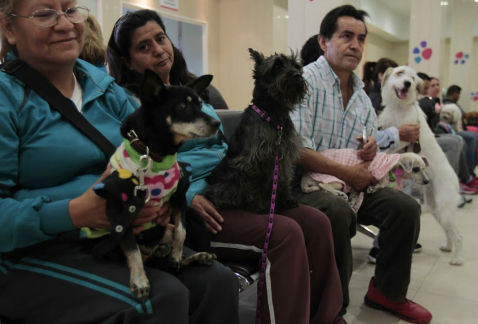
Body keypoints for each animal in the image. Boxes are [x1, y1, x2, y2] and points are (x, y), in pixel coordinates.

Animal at [88, 70, 218, 302]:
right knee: (144, 257)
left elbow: (182, 231)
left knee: (166, 262)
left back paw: (187, 255)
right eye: (182, 107)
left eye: (201, 104)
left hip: (164, 228)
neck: (154, 155)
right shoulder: (120, 213)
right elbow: (132, 250)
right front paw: (139, 282)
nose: (217, 124)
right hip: (110, 246)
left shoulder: (179, 198)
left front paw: (177, 254)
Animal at [204, 48, 308, 214]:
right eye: (277, 66)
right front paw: (259, 206)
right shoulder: (252, 159)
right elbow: (254, 183)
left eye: (296, 65)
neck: (274, 116)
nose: (297, 75)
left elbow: (284, 177)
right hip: (227, 184)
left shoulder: (284, 155)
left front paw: (286, 200)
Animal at [378, 66, 464, 266]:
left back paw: (457, 258)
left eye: (412, 78)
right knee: (448, 232)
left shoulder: (404, 136)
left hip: (445, 210)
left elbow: (391, 145)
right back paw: (447, 247)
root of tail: (456, 181)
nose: (408, 84)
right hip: (437, 210)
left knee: (457, 235)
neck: (399, 107)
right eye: (400, 73)